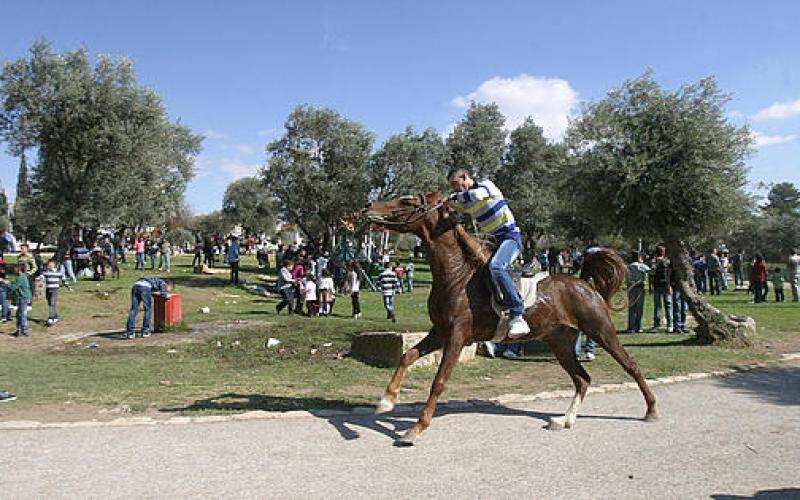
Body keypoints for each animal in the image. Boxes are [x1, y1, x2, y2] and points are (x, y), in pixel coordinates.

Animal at [362, 192, 656, 446]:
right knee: (582, 379)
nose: (367, 206)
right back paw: (564, 420)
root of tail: (585, 285)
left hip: (601, 331)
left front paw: (417, 428)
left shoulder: (457, 335)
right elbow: (407, 356)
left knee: (631, 366)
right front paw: (386, 400)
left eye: (407, 201)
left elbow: (439, 381)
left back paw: (651, 410)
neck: (458, 276)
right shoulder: (440, 331)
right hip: (560, 342)